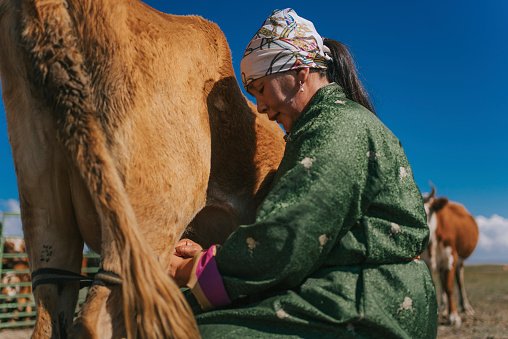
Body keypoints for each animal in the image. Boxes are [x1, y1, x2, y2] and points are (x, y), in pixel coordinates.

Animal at [422, 185, 478, 328]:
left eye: (428, 212)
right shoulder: (427, 261)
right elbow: (435, 286)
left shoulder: (450, 258)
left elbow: (449, 287)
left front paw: (453, 315)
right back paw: (443, 307)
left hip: (459, 261)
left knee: (459, 281)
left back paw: (466, 308)